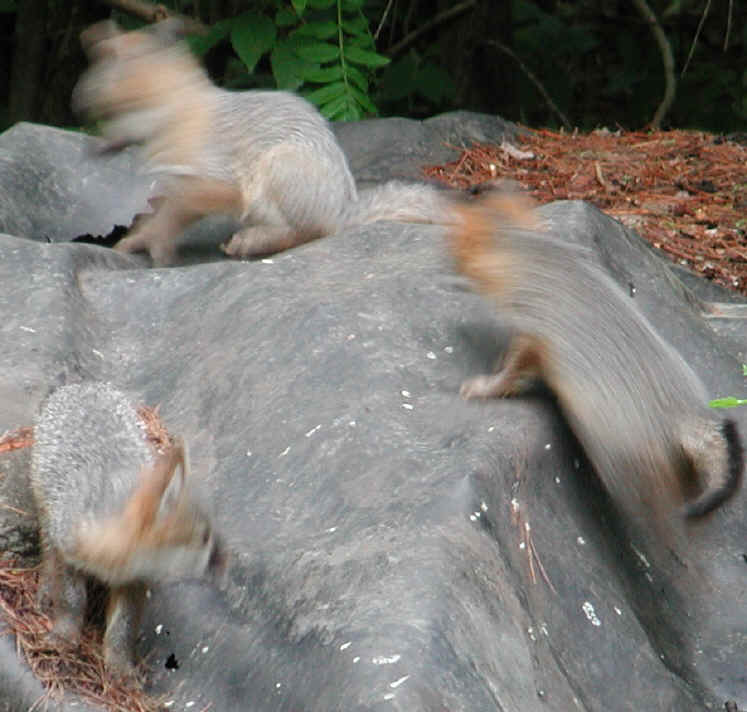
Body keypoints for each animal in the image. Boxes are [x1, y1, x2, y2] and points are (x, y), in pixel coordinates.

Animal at [30, 382, 226, 678]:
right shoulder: (68, 549)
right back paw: (44, 588)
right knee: (47, 552)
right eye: (204, 539)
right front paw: (65, 634)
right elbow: (71, 599)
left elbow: (123, 626)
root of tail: (82, 385)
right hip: (46, 510)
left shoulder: (134, 580)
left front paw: (120, 665)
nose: (226, 564)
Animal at [71, 20, 452, 266]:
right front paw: (135, 237)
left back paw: (251, 242)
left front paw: (156, 246)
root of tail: (342, 209)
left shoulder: (213, 180)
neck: (176, 113)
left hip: (280, 170)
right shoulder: (173, 183)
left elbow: (173, 217)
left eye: (104, 78)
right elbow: (156, 213)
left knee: (310, 232)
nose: (78, 104)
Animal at [447, 188, 743, 530]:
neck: (540, 262)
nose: (447, 264)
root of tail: (688, 412)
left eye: (456, 243)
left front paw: (485, 386)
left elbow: (511, 374)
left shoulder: (534, 338)